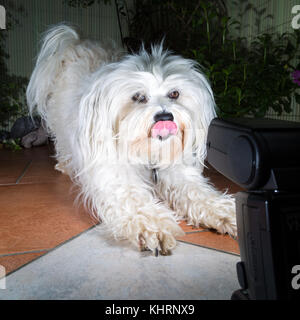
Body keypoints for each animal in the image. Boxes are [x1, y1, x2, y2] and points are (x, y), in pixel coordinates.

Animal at [26, 23, 237, 256]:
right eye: (138, 97)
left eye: (174, 94)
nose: (165, 117)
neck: (148, 152)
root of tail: (76, 41)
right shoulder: (117, 179)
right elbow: (135, 201)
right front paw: (154, 227)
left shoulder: (179, 174)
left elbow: (198, 194)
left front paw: (225, 212)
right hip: (60, 120)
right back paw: (65, 165)